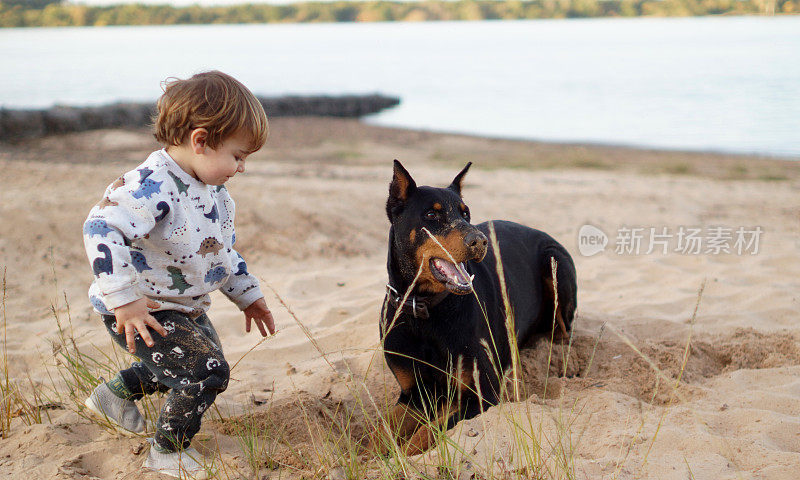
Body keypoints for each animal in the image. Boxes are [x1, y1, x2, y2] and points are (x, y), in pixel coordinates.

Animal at [376, 160, 576, 454]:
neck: (426, 310)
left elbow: (428, 432)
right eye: (431, 215)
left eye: (466, 213)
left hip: (556, 263)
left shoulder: (482, 394)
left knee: (562, 331)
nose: (479, 241)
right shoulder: (412, 393)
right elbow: (380, 433)